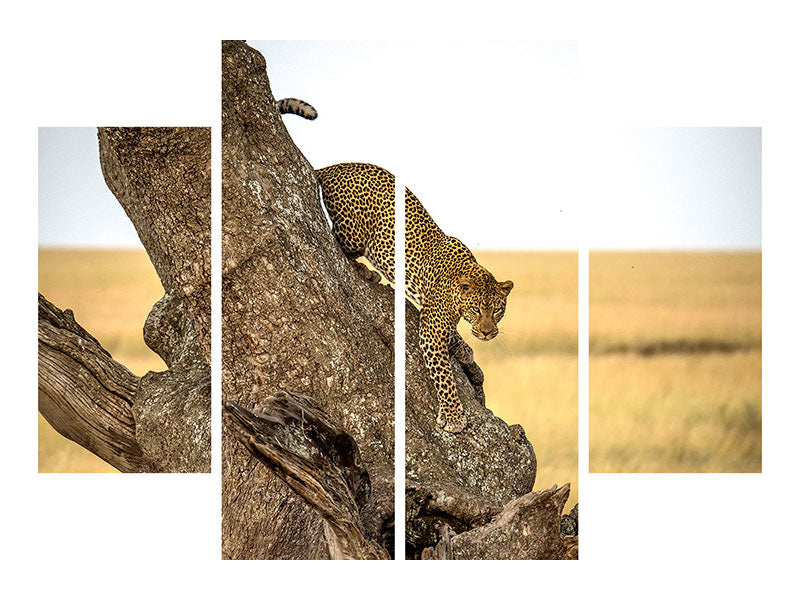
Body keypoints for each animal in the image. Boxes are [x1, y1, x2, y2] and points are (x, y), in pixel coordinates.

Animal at [278, 100, 513, 434]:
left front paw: (465, 351)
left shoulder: (432, 315)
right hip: (355, 231)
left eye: (498, 310)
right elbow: (444, 375)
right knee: (338, 241)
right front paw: (454, 416)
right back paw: (366, 271)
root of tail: (334, 167)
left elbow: (454, 337)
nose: (488, 333)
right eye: (477, 309)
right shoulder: (431, 329)